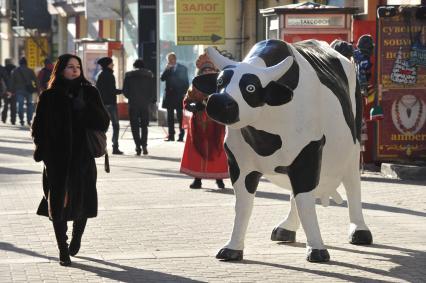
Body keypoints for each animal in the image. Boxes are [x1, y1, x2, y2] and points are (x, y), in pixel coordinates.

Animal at [193, 38, 372, 262]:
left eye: (250, 87)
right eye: (219, 82)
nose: (218, 100)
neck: (264, 136)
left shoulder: (308, 154)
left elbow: (306, 203)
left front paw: (317, 249)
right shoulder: (239, 164)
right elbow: (243, 205)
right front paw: (232, 247)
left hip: (353, 148)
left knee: (352, 185)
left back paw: (360, 230)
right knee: (296, 194)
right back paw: (287, 228)